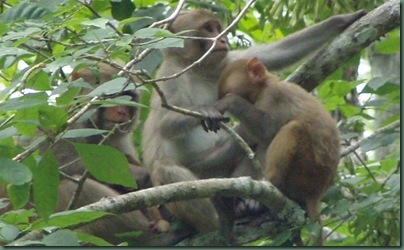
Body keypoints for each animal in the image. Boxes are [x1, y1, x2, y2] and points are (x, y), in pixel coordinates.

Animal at [215, 57, 340, 246]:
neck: (266, 84)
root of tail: (317, 193)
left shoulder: (272, 96)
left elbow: (268, 131)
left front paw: (231, 102)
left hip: (307, 171)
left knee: (292, 129)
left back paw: (271, 188)